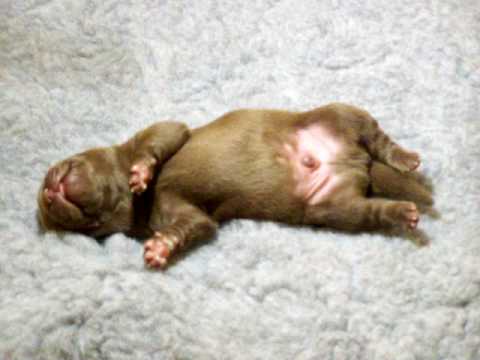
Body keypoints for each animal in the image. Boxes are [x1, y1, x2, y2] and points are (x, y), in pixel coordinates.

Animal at [39, 102, 434, 268]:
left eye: (67, 163)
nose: (47, 191)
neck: (133, 205)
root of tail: (357, 165)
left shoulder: (167, 131)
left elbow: (159, 140)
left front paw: (141, 172)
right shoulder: (180, 214)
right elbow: (195, 225)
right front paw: (162, 249)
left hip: (338, 113)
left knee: (376, 136)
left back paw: (406, 159)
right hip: (333, 208)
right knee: (370, 211)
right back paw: (404, 213)